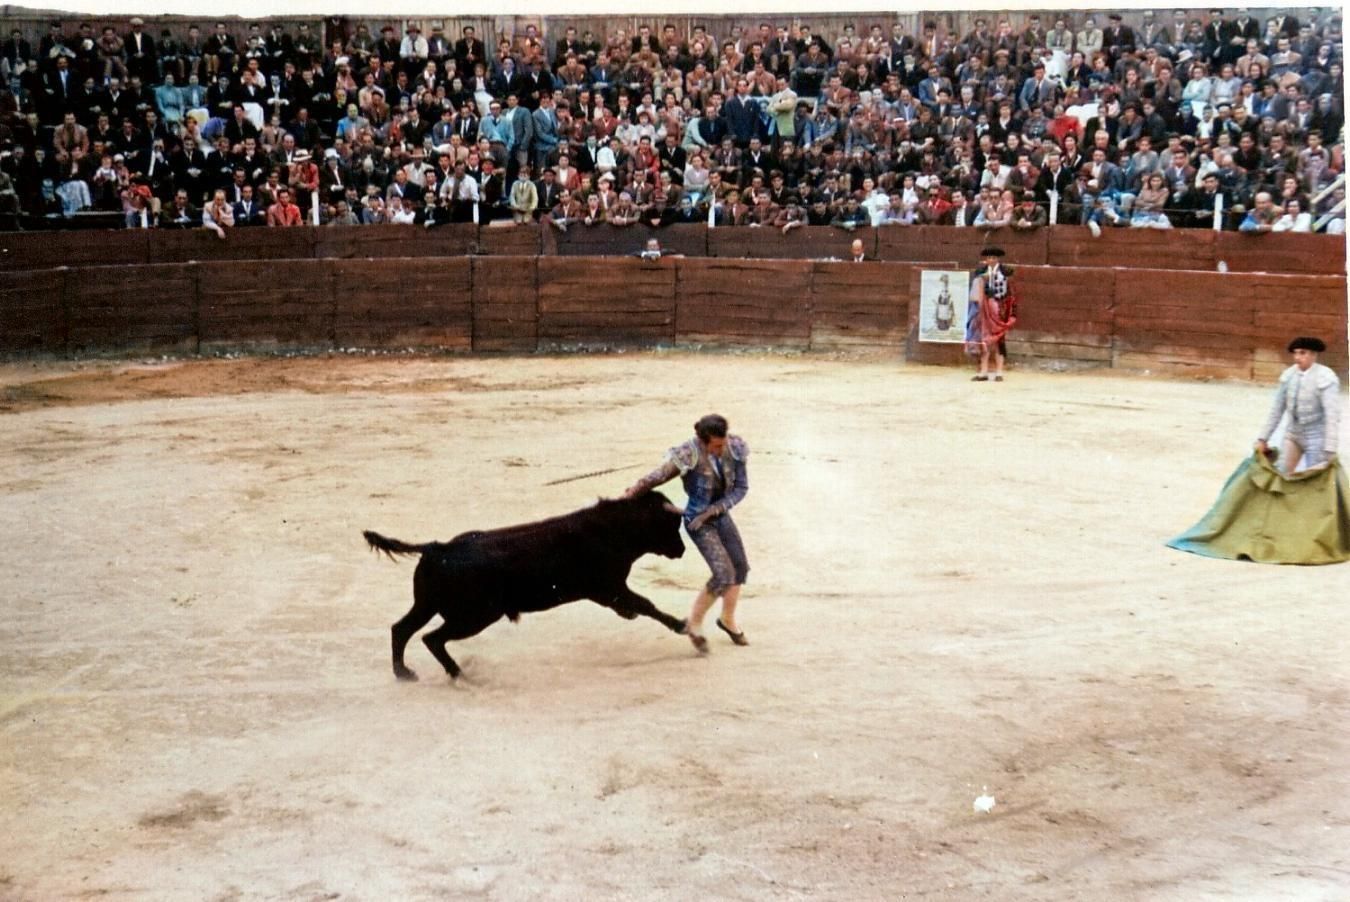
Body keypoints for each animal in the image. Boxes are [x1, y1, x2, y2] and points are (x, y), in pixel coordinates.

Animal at [364, 494, 685, 675]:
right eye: (670, 525)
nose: (681, 550)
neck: (614, 529)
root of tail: (438, 547)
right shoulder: (609, 588)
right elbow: (646, 604)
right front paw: (684, 627)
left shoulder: (610, 591)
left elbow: (639, 606)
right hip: (476, 616)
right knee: (430, 638)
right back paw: (457, 674)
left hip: (428, 605)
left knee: (401, 629)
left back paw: (404, 673)